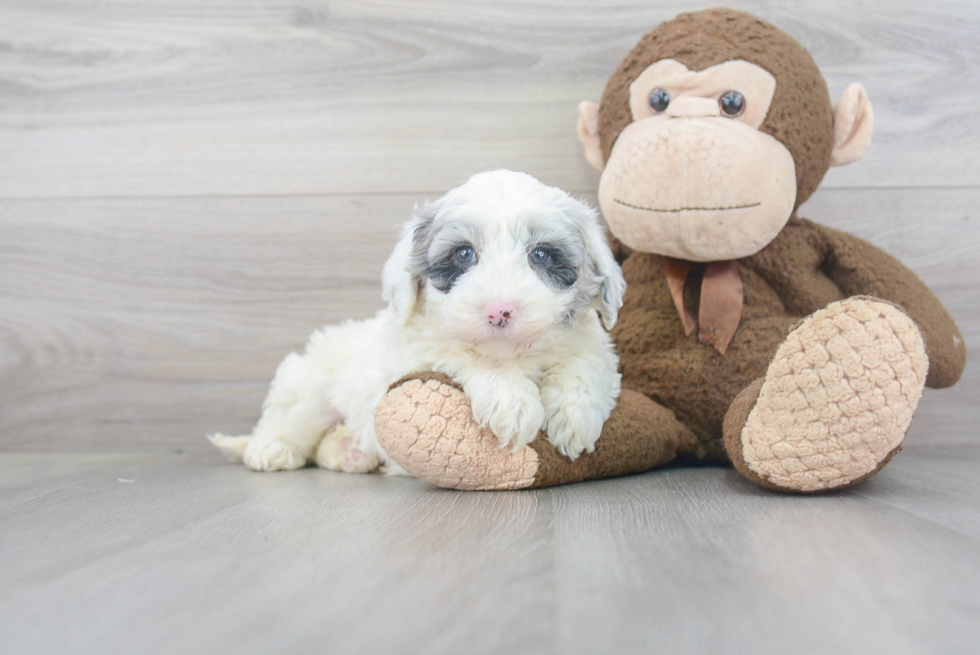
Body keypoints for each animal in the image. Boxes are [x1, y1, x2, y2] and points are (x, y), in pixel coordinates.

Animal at [211, 172, 632, 474]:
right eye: (464, 254)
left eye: (541, 255)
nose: (500, 311)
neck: (511, 353)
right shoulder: (414, 352)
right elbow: (466, 356)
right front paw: (511, 400)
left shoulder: (596, 347)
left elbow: (584, 365)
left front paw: (574, 417)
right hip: (310, 387)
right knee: (287, 421)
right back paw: (271, 449)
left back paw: (349, 451)